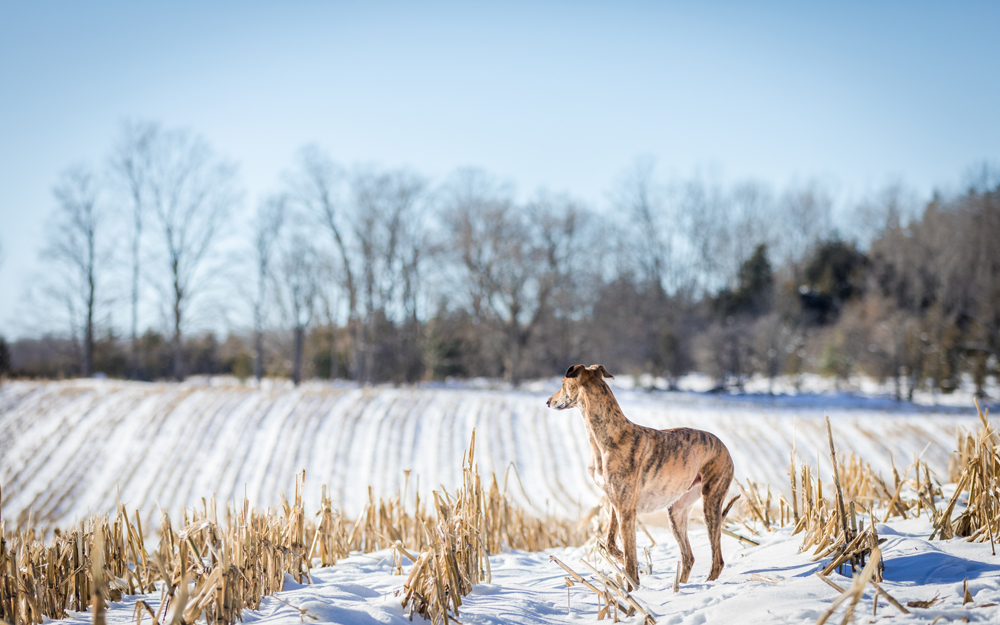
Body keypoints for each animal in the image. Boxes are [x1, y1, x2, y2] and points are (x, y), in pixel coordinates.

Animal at [544, 364, 740, 588]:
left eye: (563, 383)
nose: (548, 401)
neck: (609, 436)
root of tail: (724, 446)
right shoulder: (615, 503)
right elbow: (610, 544)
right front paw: (626, 563)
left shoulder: (626, 510)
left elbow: (629, 559)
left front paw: (633, 586)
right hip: (677, 512)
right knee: (688, 557)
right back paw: (680, 587)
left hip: (711, 503)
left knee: (717, 561)